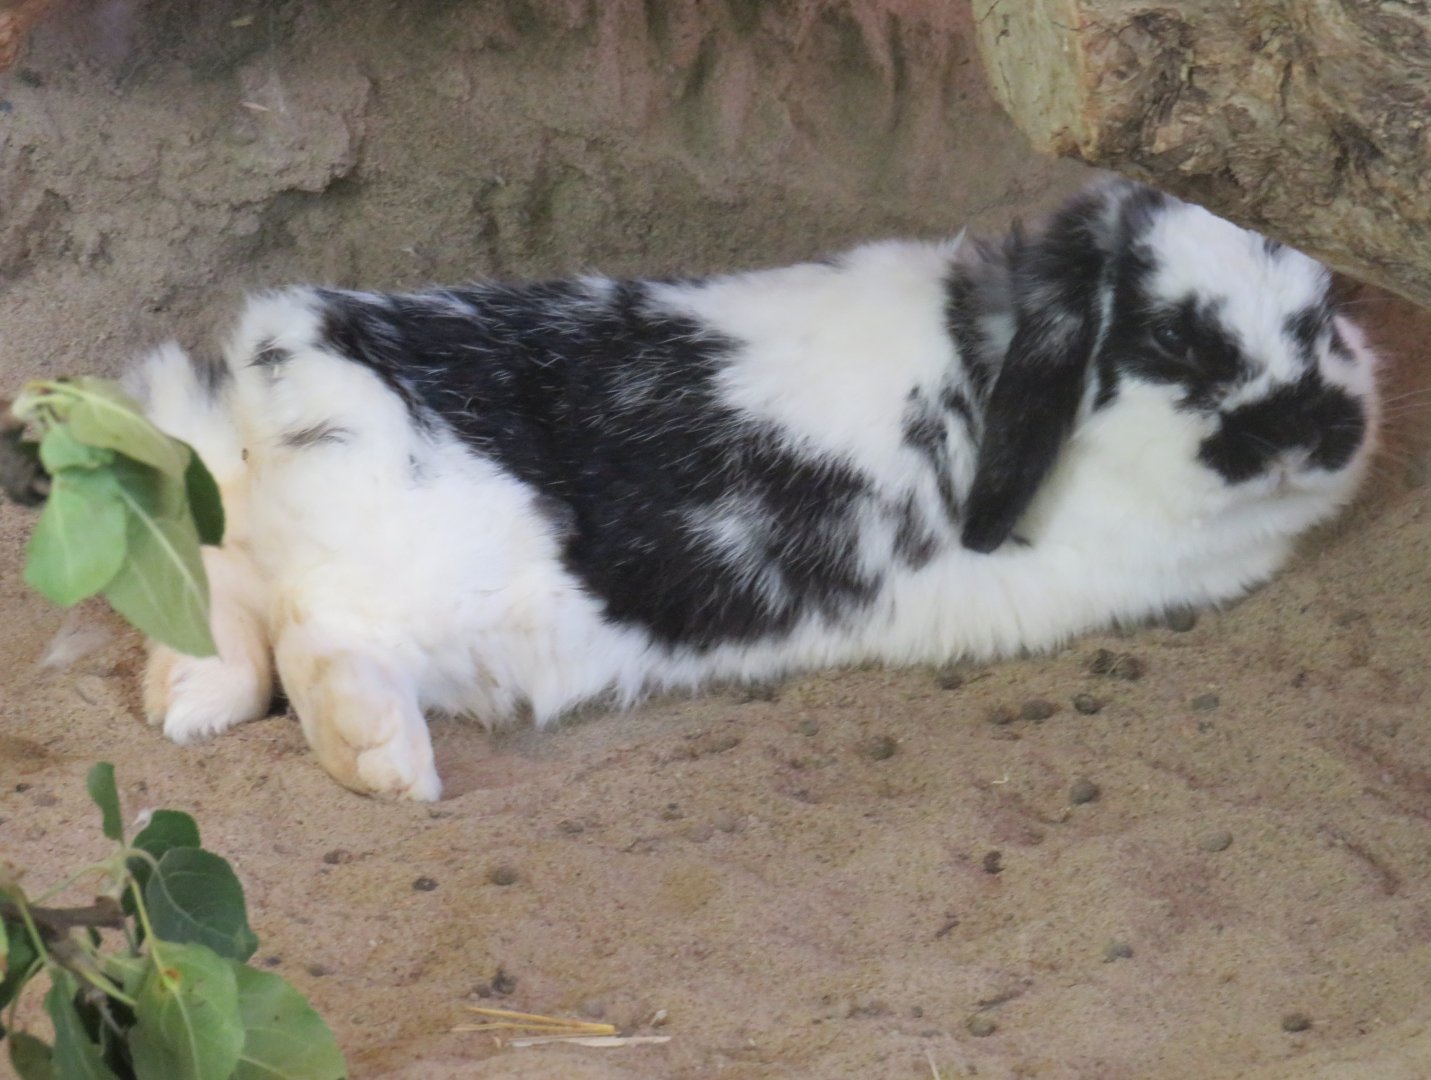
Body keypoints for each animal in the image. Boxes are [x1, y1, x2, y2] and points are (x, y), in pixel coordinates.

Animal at [130, 178, 1380, 800]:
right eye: (1175, 343)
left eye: (1326, 312)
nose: (1315, 429)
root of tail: (277, 393)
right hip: (430, 571)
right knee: (315, 628)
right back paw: (383, 762)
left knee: (231, 597)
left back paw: (187, 705)